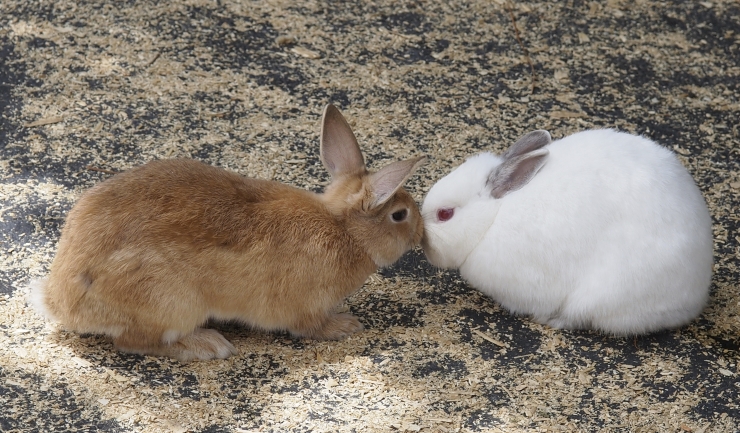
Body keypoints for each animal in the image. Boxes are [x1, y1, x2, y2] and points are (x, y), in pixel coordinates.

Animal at [31, 104, 424, 362]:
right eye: (399, 215)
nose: (421, 235)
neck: (344, 228)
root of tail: (61, 302)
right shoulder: (306, 308)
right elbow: (311, 327)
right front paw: (346, 325)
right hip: (171, 302)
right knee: (134, 343)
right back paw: (208, 345)